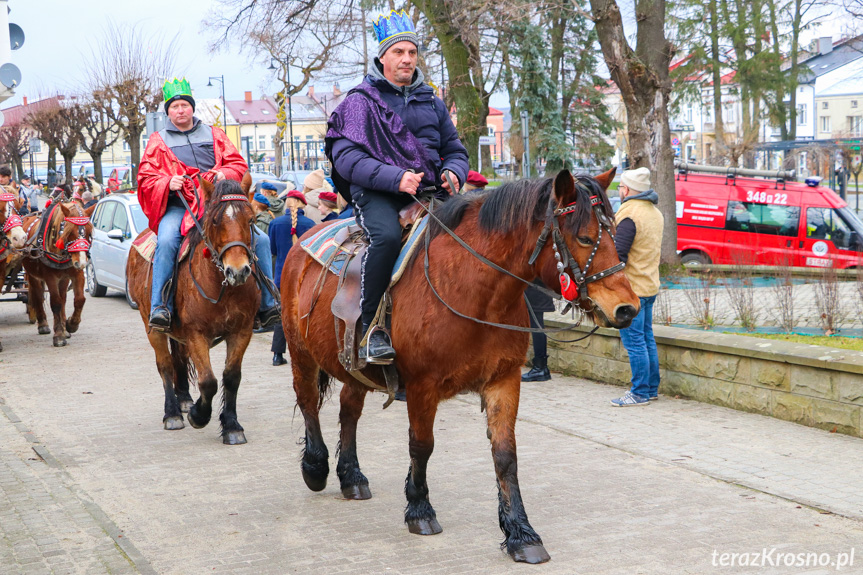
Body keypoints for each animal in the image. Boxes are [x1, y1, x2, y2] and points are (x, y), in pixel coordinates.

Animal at [21, 202, 95, 346]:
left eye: (89, 232)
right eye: (69, 232)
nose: (82, 262)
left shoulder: (77, 274)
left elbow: (79, 300)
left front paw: (71, 325)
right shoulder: (50, 277)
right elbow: (55, 302)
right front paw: (59, 335)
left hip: (63, 278)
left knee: (63, 298)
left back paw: (65, 328)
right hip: (33, 275)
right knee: (38, 295)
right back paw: (43, 324)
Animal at [125, 174, 260, 446]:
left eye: (251, 219)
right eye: (216, 220)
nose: (238, 270)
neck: (221, 287)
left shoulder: (241, 331)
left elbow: (231, 377)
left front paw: (231, 426)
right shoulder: (197, 334)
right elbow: (208, 381)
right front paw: (199, 415)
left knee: (178, 358)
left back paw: (185, 399)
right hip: (151, 325)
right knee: (165, 364)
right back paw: (173, 413)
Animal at [284, 169, 640, 564]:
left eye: (613, 232)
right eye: (585, 237)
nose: (628, 308)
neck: (473, 289)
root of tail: (304, 241)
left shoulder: (504, 380)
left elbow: (505, 455)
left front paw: (521, 533)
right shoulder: (422, 386)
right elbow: (421, 445)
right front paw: (419, 509)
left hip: (353, 368)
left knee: (348, 410)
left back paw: (351, 476)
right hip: (300, 352)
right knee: (307, 402)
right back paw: (315, 466)